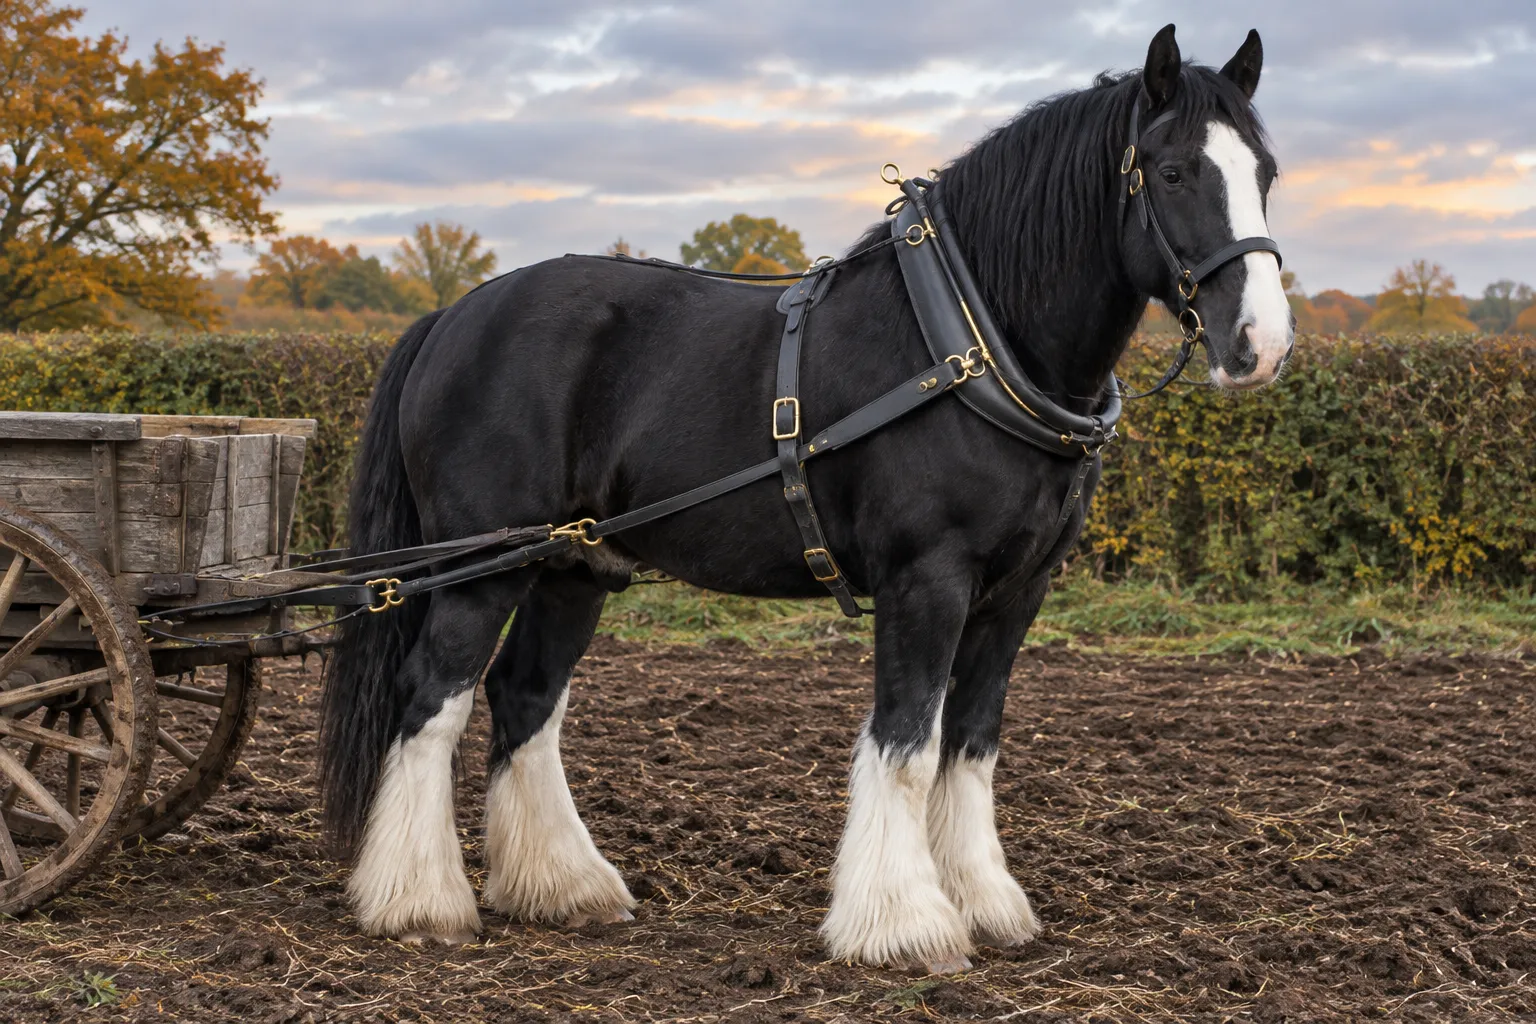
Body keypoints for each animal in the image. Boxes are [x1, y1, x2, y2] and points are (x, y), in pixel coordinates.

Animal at [318, 23, 1293, 973]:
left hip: (573, 564)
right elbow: (908, 744)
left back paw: (564, 885)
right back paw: (419, 902)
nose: (1262, 345)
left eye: (1266, 173)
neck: (973, 343)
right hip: (480, 566)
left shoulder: (1018, 592)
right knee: (431, 701)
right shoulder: (925, 580)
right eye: (1174, 171)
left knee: (524, 697)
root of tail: (454, 315)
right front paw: (906, 924)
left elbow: (971, 744)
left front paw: (983, 902)